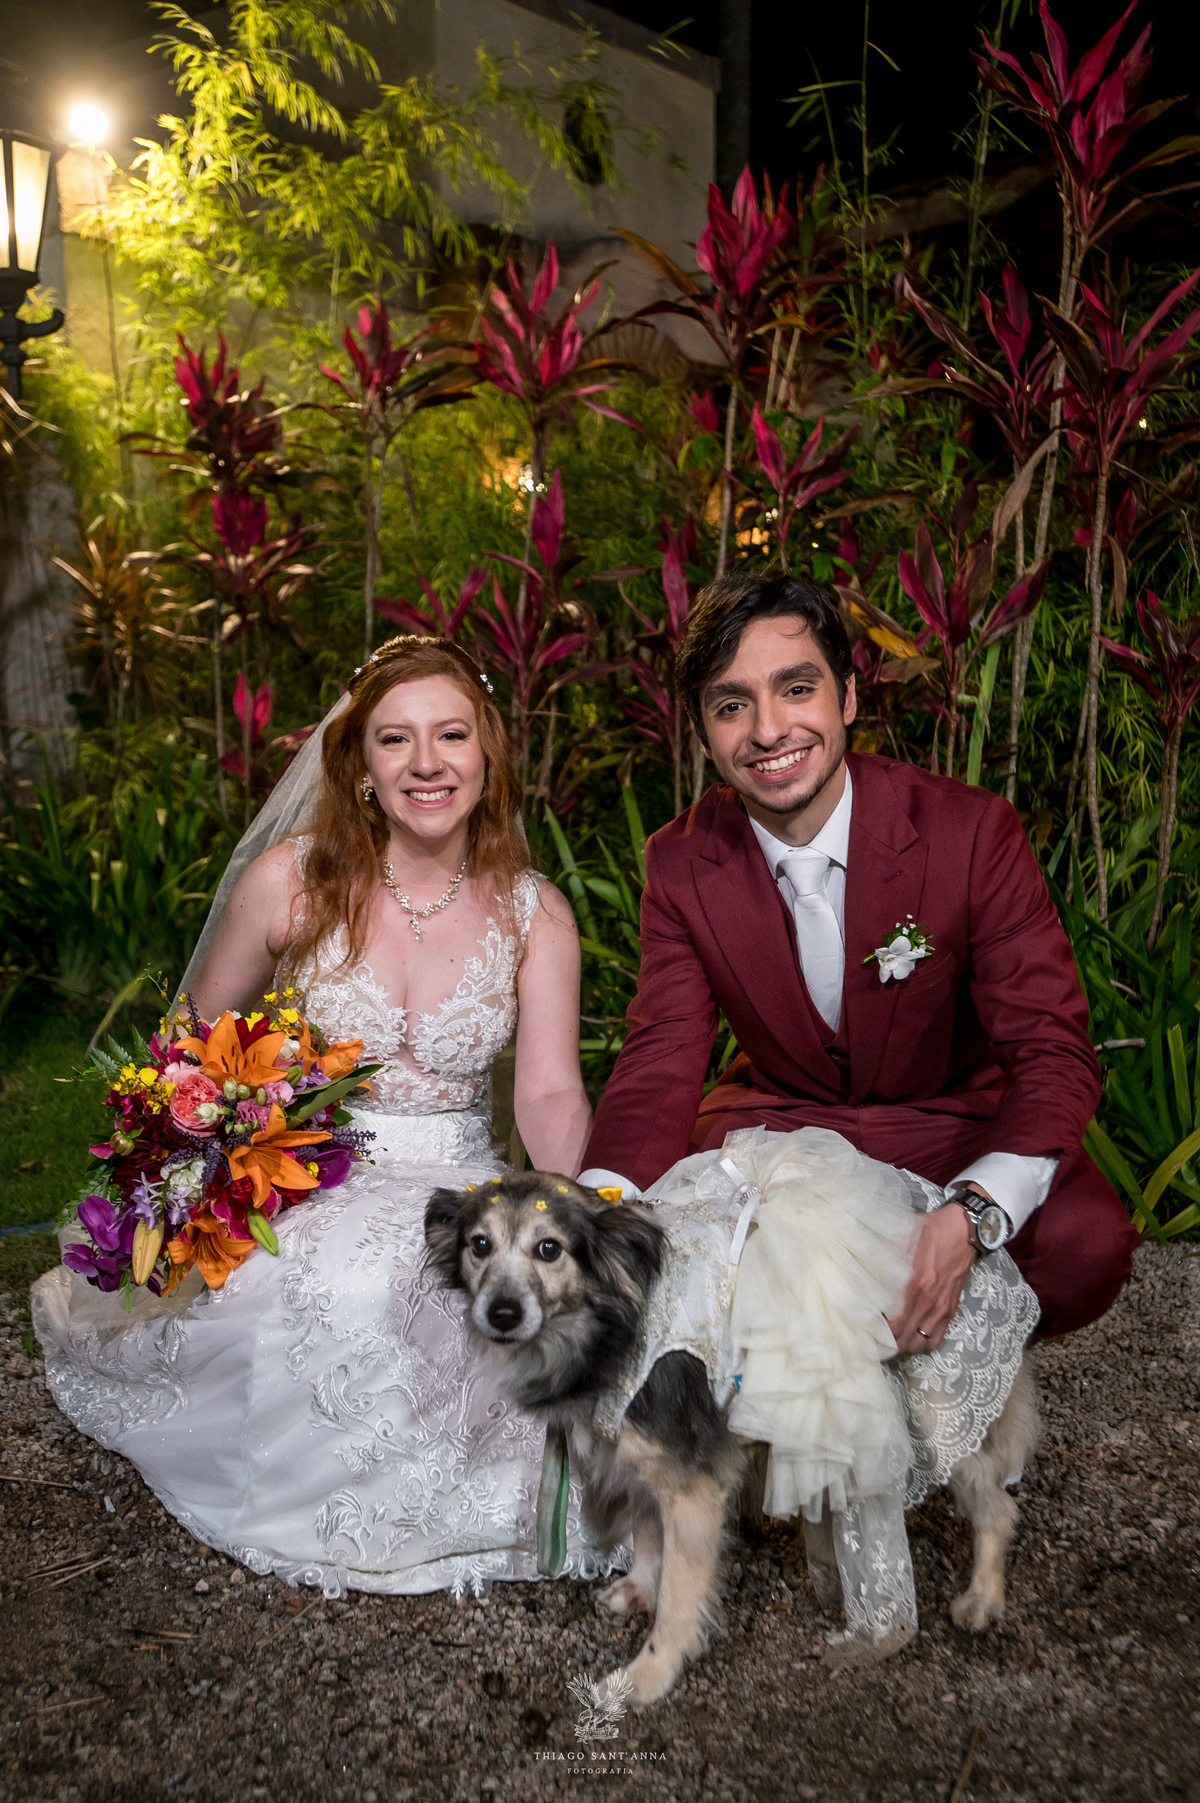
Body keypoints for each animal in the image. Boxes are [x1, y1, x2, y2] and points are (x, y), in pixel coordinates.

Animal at [424, 1171, 1040, 1705]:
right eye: (480, 1245)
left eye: (549, 1249)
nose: (502, 1313)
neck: (613, 1321)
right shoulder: (649, 1459)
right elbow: (648, 1534)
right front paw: (640, 1587)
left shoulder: (694, 1484)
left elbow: (679, 1598)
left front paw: (647, 1677)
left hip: (942, 1416)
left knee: (997, 1507)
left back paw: (981, 1598)